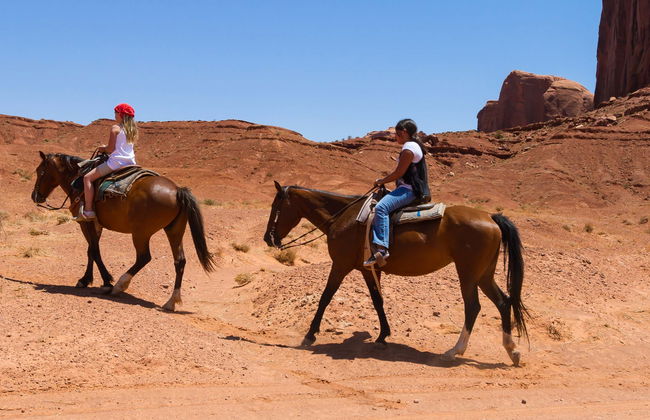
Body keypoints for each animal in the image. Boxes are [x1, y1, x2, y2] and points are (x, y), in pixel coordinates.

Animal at [31, 151, 216, 311]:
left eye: (40, 171)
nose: (34, 196)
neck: (78, 179)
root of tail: (177, 191)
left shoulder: (85, 223)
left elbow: (94, 250)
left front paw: (106, 281)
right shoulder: (95, 225)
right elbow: (91, 250)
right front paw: (86, 279)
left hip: (141, 233)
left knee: (144, 257)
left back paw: (120, 285)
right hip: (174, 230)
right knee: (180, 261)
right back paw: (171, 301)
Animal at [264, 182, 528, 366]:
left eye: (276, 207)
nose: (268, 238)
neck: (344, 217)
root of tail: (490, 217)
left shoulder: (340, 265)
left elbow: (325, 297)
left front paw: (309, 335)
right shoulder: (368, 269)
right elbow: (377, 301)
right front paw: (383, 336)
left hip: (468, 273)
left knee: (473, 307)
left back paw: (454, 351)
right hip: (484, 274)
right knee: (503, 302)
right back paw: (513, 351)